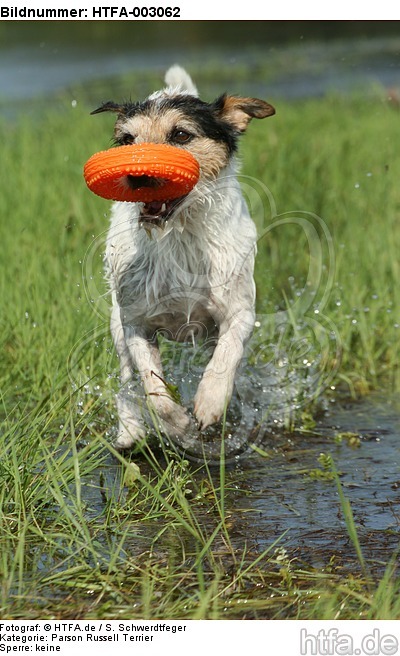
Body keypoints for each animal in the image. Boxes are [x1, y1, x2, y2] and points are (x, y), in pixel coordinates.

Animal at [91, 66, 276, 448]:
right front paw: (177, 425)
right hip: (116, 323)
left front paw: (209, 403)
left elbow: (226, 356)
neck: (181, 236)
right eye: (127, 140)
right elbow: (153, 388)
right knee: (126, 380)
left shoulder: (239, 312)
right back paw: (129, 431)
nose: (137, 173)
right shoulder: (136, 323)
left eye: (180, 134)